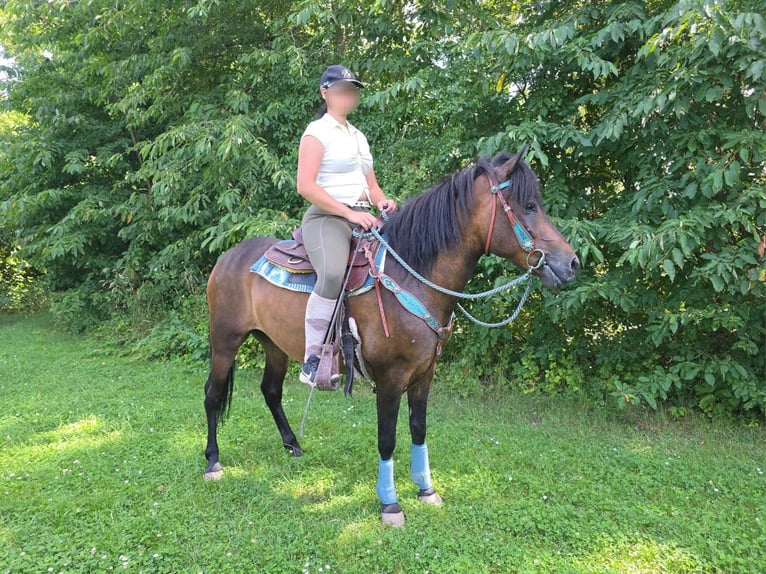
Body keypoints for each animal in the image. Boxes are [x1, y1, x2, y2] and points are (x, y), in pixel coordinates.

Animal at [203, 148, 579, 526]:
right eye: (529, 205)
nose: (572, 263)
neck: (412, 276)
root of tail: (227, 257)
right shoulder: (390, 378)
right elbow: (387, 439)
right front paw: (390, 504)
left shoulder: (425, 374)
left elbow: (418, 428)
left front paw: (426, 489)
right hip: (225, 340)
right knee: (212, 393)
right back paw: (212, 461)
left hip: (274, 345)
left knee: (271, 391)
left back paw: (293, 444)